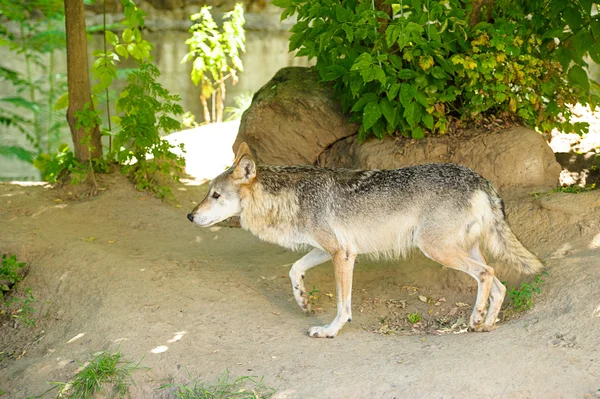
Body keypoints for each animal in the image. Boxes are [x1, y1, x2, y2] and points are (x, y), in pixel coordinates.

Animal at [188, 142, 544, 340]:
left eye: (215, 195)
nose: (190, 216)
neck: (291, 198)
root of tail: (481, 179)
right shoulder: (330, 250)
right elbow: (294, 269)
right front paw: (303, 301)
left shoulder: (342, 254)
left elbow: (342, 305)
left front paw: (330, 331)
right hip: (461, 250)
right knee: (499, 284)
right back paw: (487, 324)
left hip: (437, 249)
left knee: (487, 275)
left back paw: (474, 320)